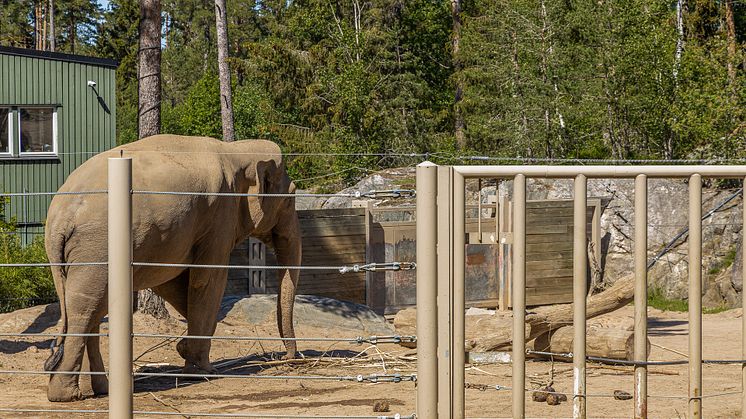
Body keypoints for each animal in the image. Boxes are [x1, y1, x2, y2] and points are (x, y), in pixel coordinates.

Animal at [42, 135, 300, 404]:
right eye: (290, 197)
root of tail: (61, 217)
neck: (236, 150)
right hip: (97, 246)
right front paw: (202, 369)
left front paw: (185, 350)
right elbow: (207, 280)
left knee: (85, 305)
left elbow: (169, 282)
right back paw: (66, 395)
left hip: (72, 256)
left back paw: (100, 388)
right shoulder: (220, 215)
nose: (286, 357)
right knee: (85, 308)